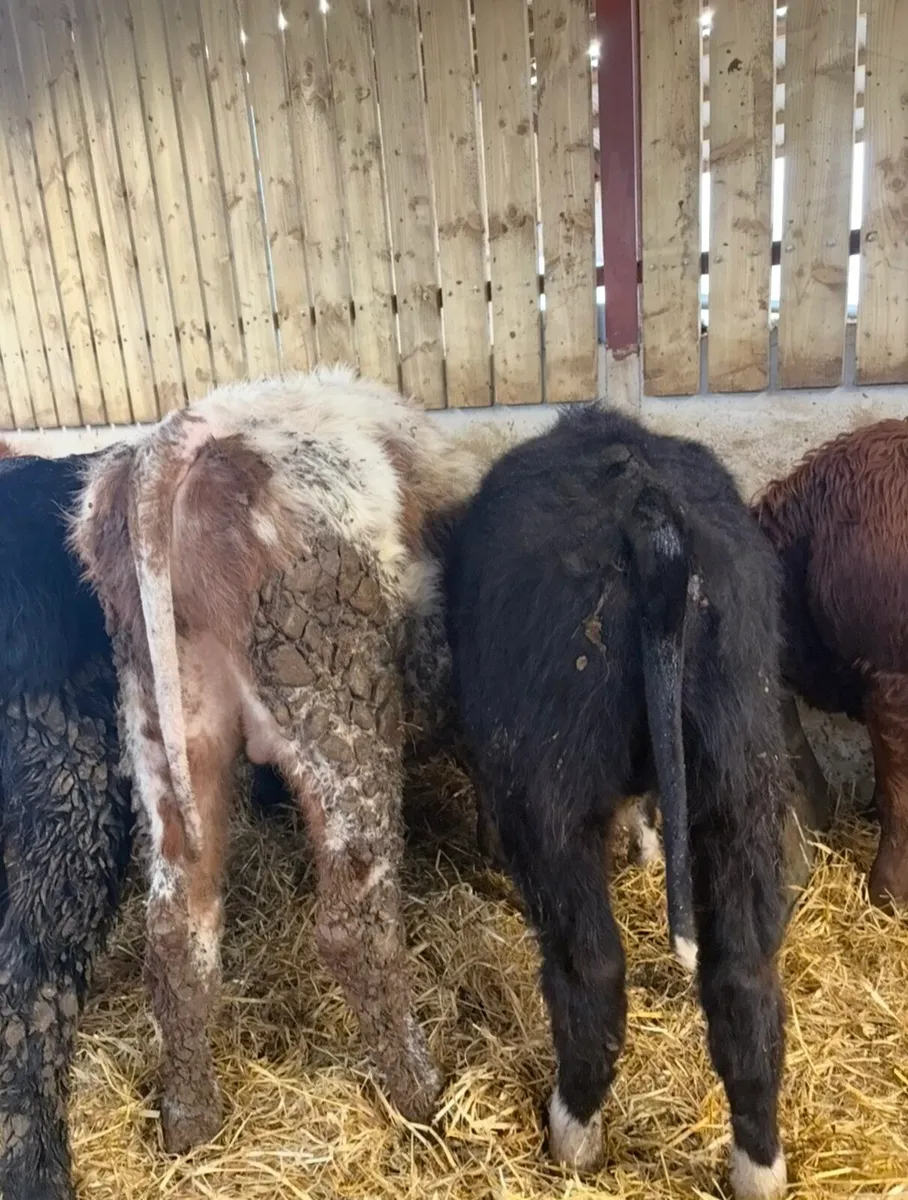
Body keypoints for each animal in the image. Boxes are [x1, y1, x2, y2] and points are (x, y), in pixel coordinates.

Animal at [70, 367, 483, 1157]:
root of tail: (178, 437)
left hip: (165, 716)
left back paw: (190, 1120)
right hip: (336, 695)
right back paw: (422, 1093)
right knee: (353, 920)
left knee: (177, 927)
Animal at [443, 406, 791, 1200]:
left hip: (551, 794)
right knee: (745, 980)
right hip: (742, 776)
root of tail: (648, 515)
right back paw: (759, 1168)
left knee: (592, 968)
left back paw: (572, 1133)